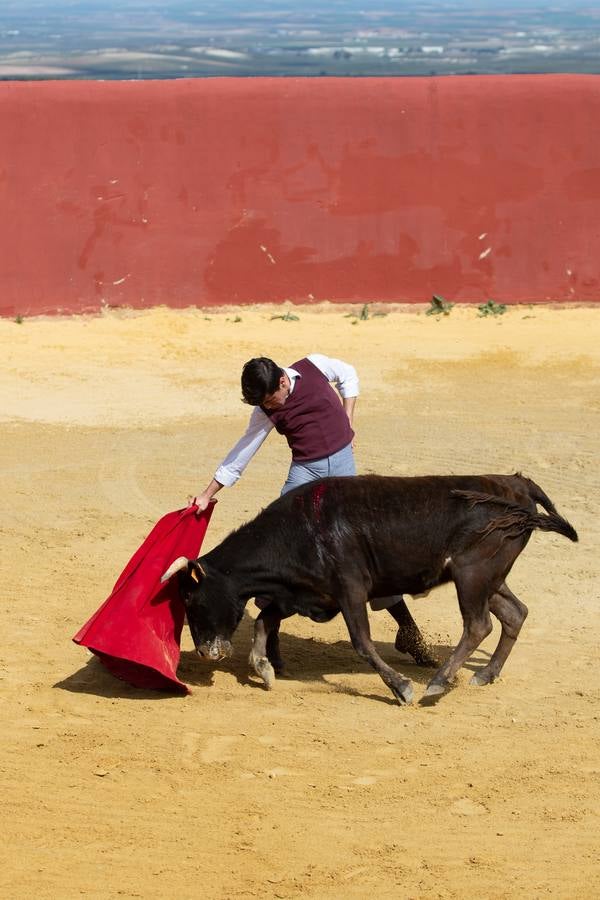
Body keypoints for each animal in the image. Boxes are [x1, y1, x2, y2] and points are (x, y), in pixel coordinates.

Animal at [162, 472, 580, 704]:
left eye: (191, 600)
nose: (206, 653)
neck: (299, 530)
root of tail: (516, 483)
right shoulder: (306, 593)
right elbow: (265, 620)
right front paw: (265, 669)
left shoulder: (350, 590)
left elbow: (361, 642)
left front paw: (401, 689)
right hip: (490, 577)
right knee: (514, 613)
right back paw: (484, 675)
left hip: (472, 574)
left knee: (479, 625)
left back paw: (436, 684)